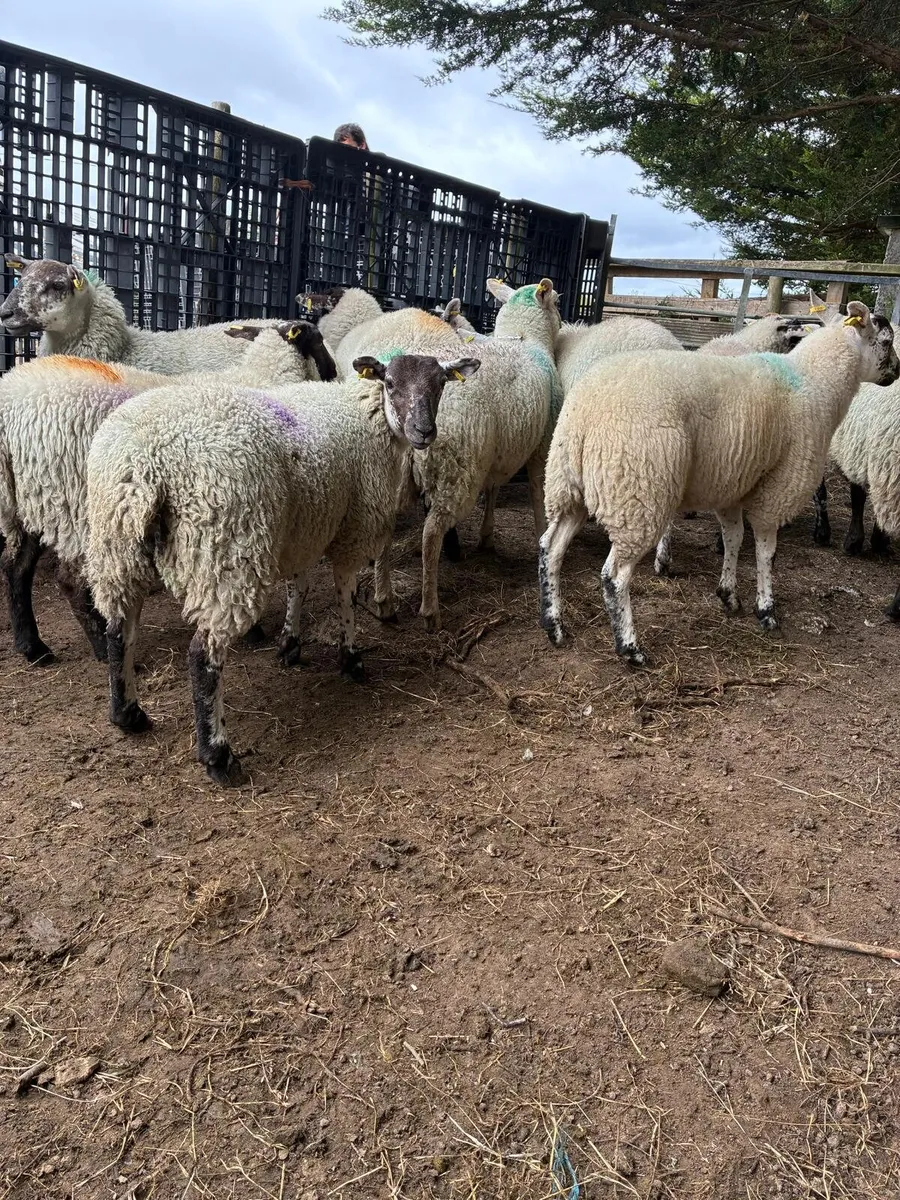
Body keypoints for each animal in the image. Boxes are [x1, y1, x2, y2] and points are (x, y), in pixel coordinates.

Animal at [0, 322, 333, 665]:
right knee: (70, 580)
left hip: (28, 502)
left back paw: (32, 646)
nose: (334, 372)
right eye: (320, 340)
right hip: (74, 505)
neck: (260, 377)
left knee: (15, 566)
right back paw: (101, 648)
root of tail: (8, 398)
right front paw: (256, 633)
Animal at [84, 352, 479, 786]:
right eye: (390, 383)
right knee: (202, 655)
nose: (425, 432)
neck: (365, 419)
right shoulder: (351, 528)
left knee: (119, 630)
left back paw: (128, 714)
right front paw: (351, 658)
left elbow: (299, 587)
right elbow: (346, 595)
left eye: (441, 383)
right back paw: (218, 756)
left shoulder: (305, 528)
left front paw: (290, 643)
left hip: (117, 548)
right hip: (225, 553)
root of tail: (145, 463)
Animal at [337, 278, 563, 629]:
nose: (564, 324)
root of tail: (401, 423)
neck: (528, 338)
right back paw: (430, 609)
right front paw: (541, 536)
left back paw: (384, 600)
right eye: (558, 304)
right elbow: (538, 494)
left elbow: (493, 491)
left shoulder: (495, 456)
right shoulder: (541, 445)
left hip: (393, 475)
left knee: (387, 526)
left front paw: (487, 536)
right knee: (431, 533)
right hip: (457, 469)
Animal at [538, 303, 899, 666]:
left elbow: (733, 539)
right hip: (640, 491)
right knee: (614, 576)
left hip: (567, 484)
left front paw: (728, 594)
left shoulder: (733, 484)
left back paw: (554, 626)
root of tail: (587, 410)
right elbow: (766, 551)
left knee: (550, 548)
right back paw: (630, 648)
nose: (896, 372)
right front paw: (766, 609)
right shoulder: (778, 488)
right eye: (886, 340)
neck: (815, 384)